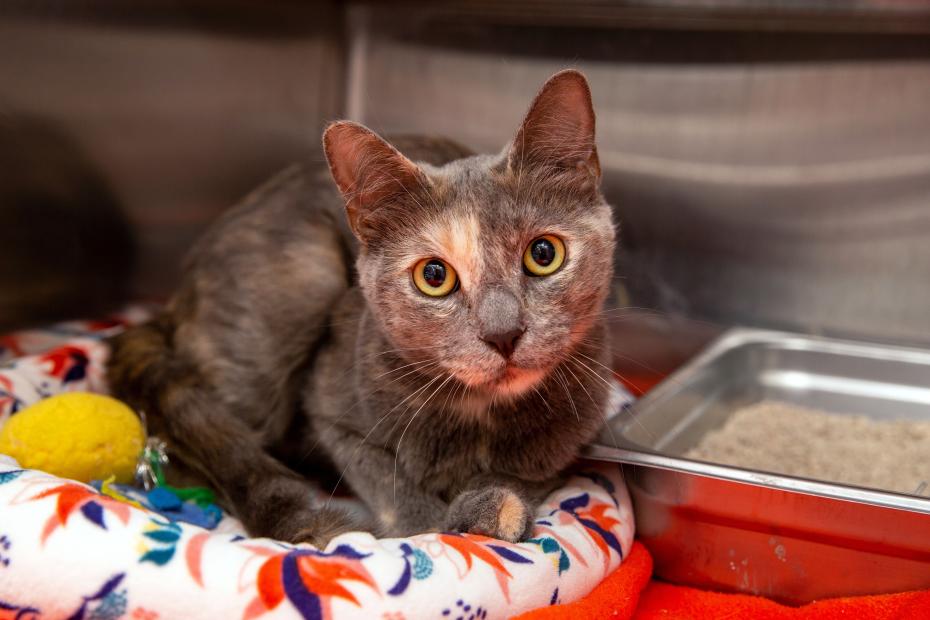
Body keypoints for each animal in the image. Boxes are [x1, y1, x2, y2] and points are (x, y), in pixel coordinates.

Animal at [109, 69, 612, 544]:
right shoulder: (333, 412)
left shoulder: (570, 437)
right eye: (434, 276)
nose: (503, 333)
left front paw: (494, 503)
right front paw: (439, 523)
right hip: (301, 283)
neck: (482, 416)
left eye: (543, 254)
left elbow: (526, 475)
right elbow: (388, 484)